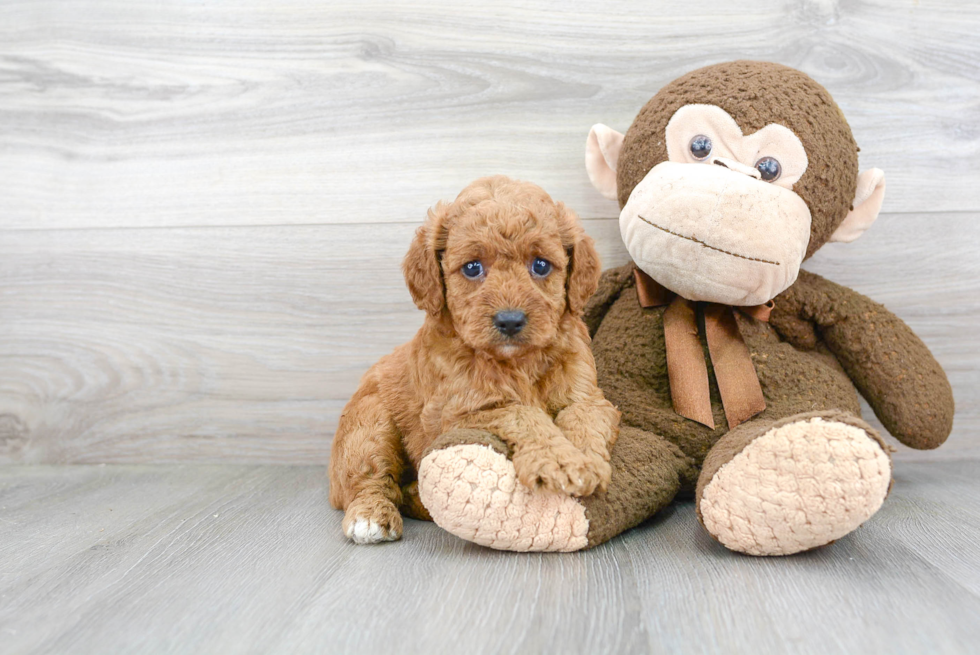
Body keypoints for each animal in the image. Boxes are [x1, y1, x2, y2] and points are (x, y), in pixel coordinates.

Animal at [330, 174, 620, 544]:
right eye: (472, 268)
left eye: (541, 265)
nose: (510, 321)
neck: (518, 363)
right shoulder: (460, 412)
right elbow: (522, 414)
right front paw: (559, 462)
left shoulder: (587, 397)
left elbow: (584, 420)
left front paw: (583, 463)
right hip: (369, 424)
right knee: (369, 478)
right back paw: (369, 517)